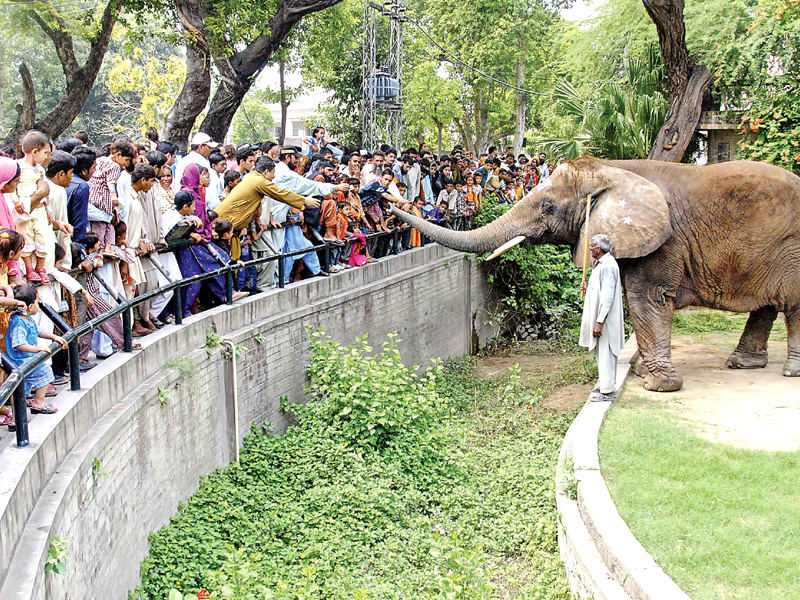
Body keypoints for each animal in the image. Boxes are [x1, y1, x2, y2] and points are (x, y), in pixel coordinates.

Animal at [392, 157, 800, 392]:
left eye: (547, 206)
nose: (391, 204)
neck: (612, 169)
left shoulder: (663, 241)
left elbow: (647, 299)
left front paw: (657, 385)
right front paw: (644, 375)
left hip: (792, 245)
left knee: (793, 306)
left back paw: (790, 373)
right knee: (767, 305)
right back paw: (742, 363)